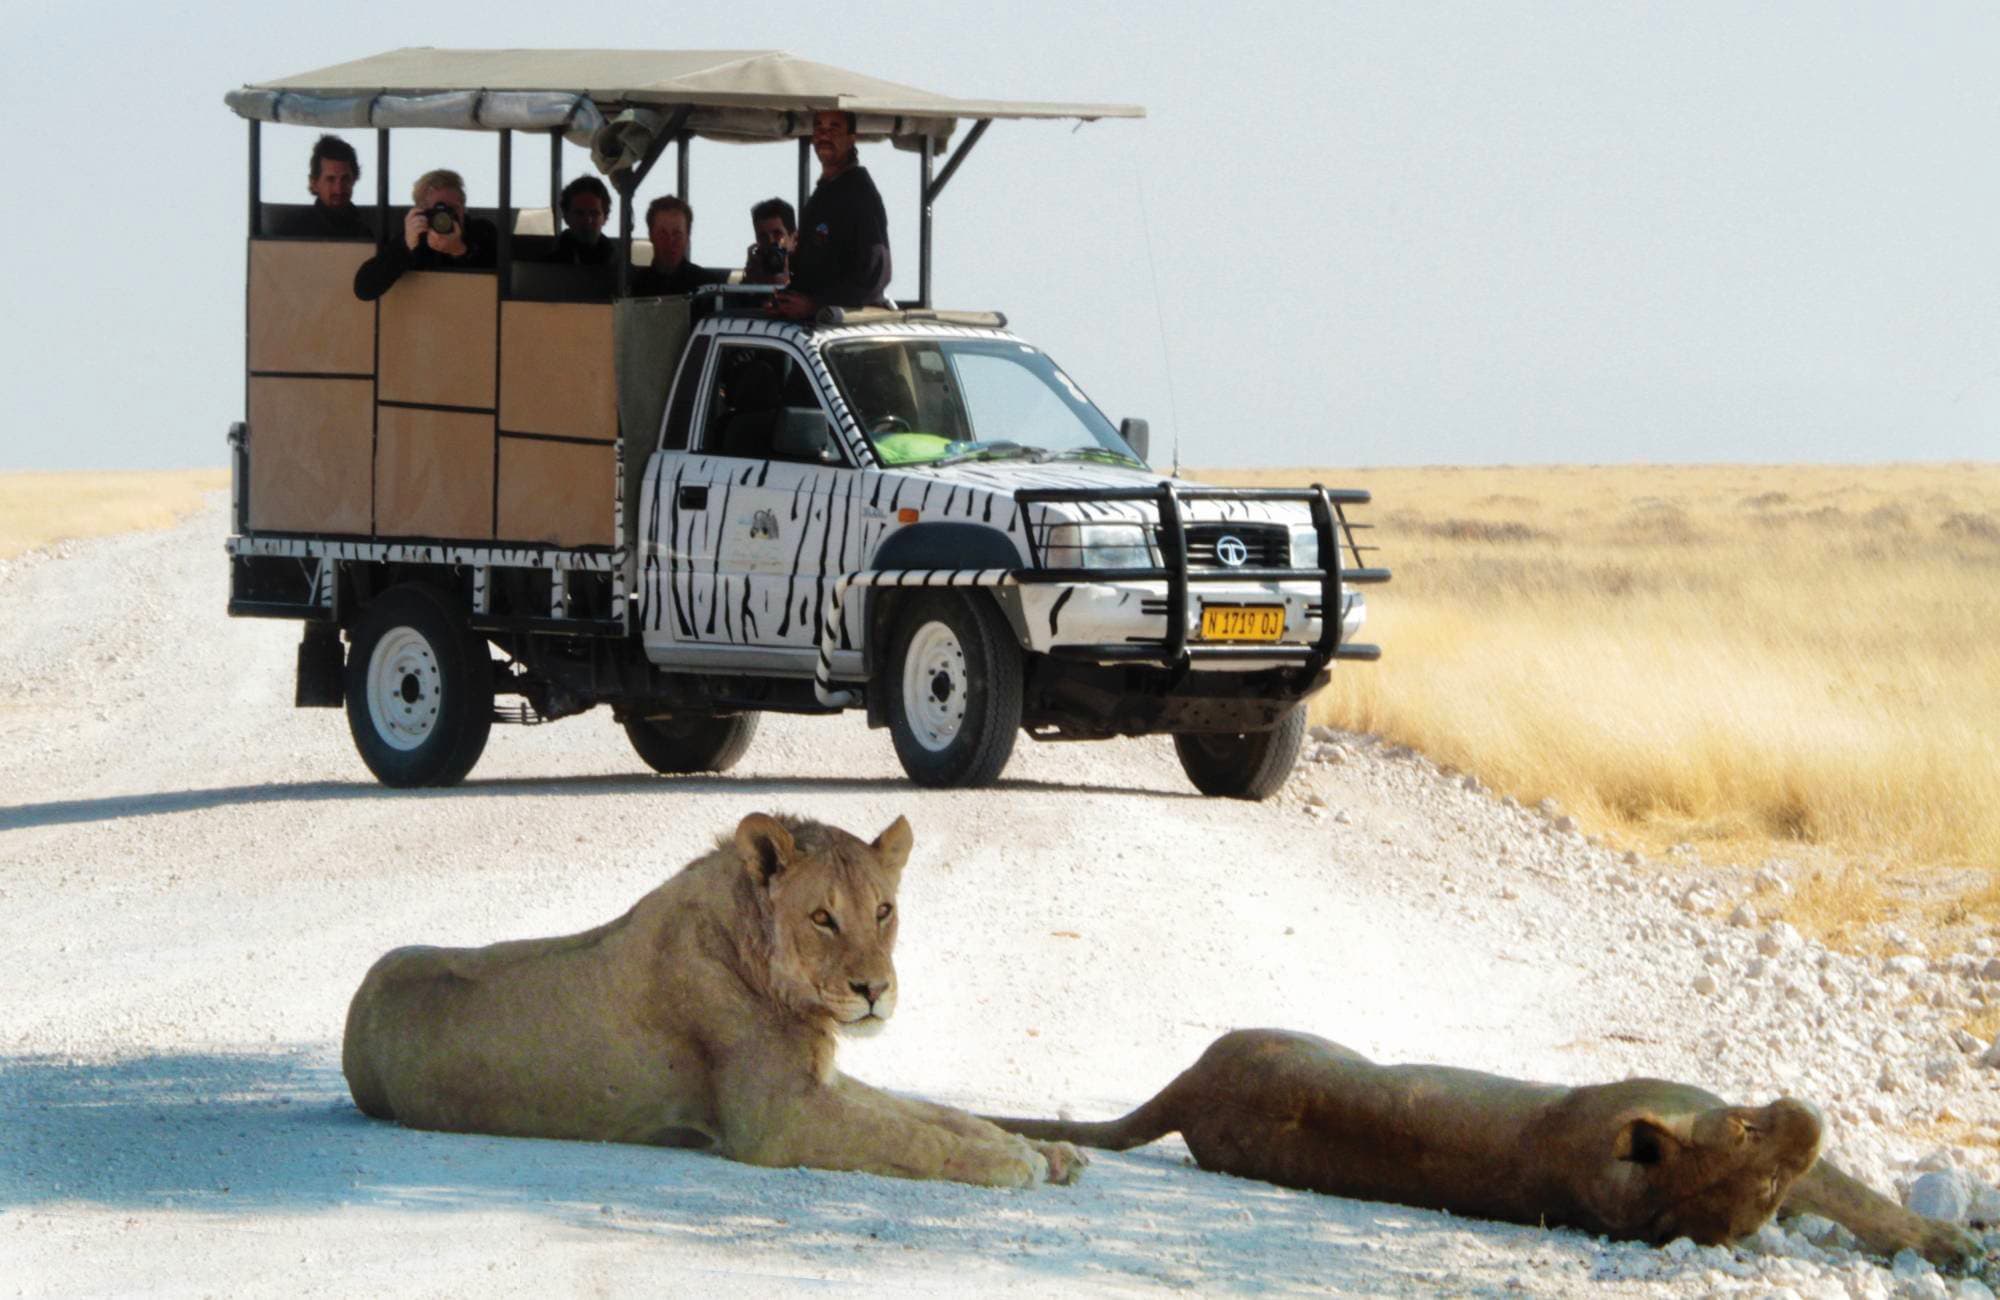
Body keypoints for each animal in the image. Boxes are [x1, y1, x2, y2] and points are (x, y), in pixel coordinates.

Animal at [348, 808, 1096, 1184]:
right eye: (822, 917)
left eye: (883, 911)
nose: (874, 991)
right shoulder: (777, 1120)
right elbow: (907, 1136)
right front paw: (1013, 1162)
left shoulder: (817, 1081)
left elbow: (936, 1113)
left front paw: (1044, 1149)